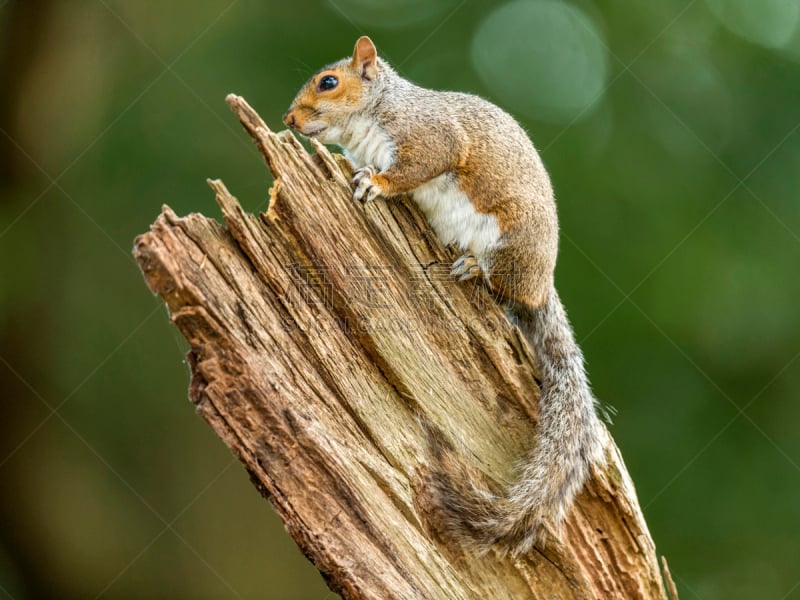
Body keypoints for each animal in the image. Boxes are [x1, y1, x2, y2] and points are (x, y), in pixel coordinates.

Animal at [284, 35, 604, 556]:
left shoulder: (430, 137)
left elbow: (415, 167)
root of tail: (541, 289)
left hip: (511, 243)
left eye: (329, 82)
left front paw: (376, 182)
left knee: (502, 286)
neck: (377, 113)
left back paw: (474, 267)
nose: (289, 119)